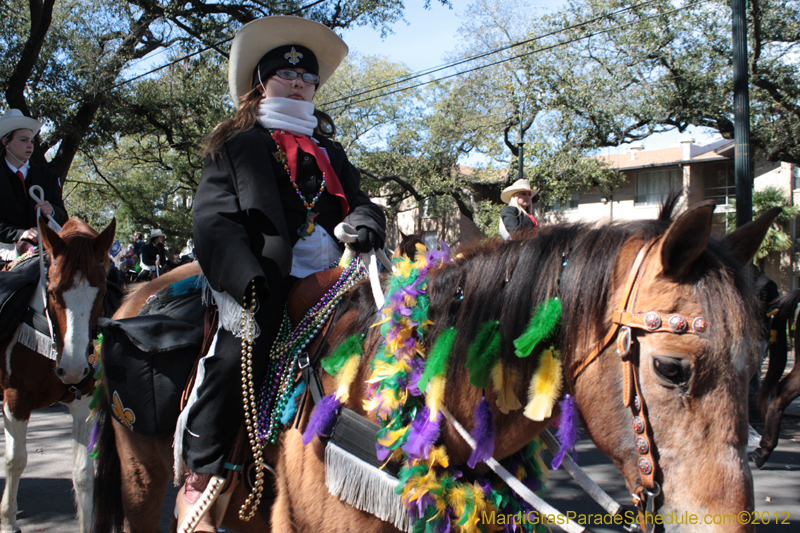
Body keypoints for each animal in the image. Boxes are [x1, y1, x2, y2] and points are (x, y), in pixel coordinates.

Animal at [0, 217, 115, 532]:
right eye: (52, 291)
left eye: (101, 293)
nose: (74, 369)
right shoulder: (15, 400)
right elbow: (16, 460)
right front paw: (8, 520)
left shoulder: (83, 403)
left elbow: (83, 474)